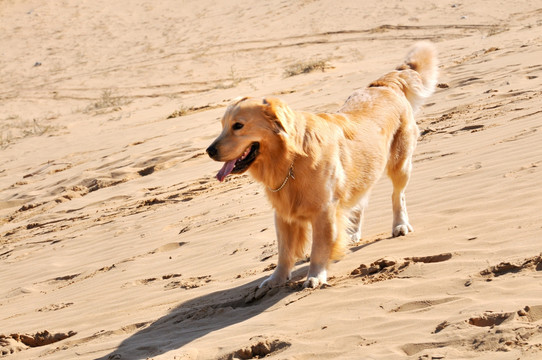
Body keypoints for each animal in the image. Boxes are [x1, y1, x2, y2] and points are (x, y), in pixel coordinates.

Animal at [206, 42, 440, 290]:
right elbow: (284, 251)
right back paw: (353, 233)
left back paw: (400, 225)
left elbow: (319, 247)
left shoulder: (324, 210)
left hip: (400, 164)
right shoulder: (283, 214)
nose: (209, 151)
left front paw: (316, 275)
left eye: (238, 126)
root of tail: (383, 85)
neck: (291, 160)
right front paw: (276, 278)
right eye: (223, 125)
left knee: (398, 196)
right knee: (361, 202)